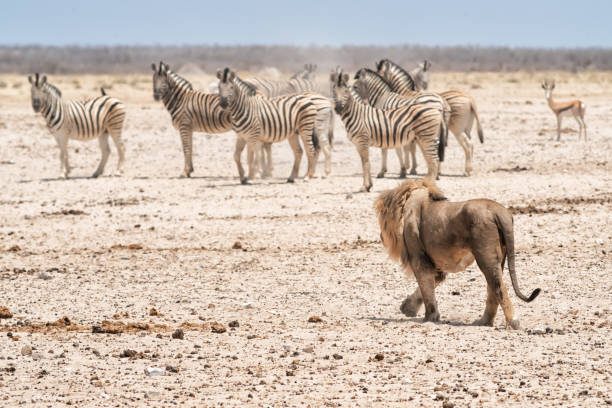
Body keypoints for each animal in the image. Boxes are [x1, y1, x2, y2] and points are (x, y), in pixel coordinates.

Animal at [372, 178, 540, 328]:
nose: (380, 236)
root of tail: (499, 212)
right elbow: (430, 284)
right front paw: (407, 308)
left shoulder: (419, 257)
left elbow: (426, 287)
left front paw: (429, 318)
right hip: (499, 256)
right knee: (492, 289)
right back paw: (483, 322)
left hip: (485, 254)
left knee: (499, 287)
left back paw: (513, 323)